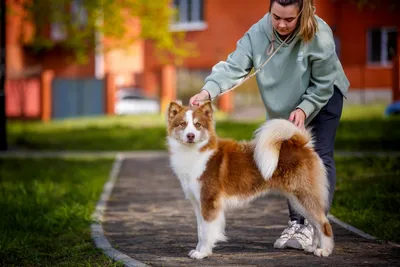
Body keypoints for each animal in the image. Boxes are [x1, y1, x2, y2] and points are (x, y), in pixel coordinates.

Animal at [166, 101, 334, 260]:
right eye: (182, 124)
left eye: (198, 125)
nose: (190, 136)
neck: (197, 152)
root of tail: (302, 144)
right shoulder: (198, 204)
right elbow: (201, 231)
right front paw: (198, 250)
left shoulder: (209, 201)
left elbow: (207, 232)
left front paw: (203, 253)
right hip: (296, 200)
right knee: (315, 225)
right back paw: (313, 247)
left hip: (304, 195)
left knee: (323, 223)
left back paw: (324, 250)